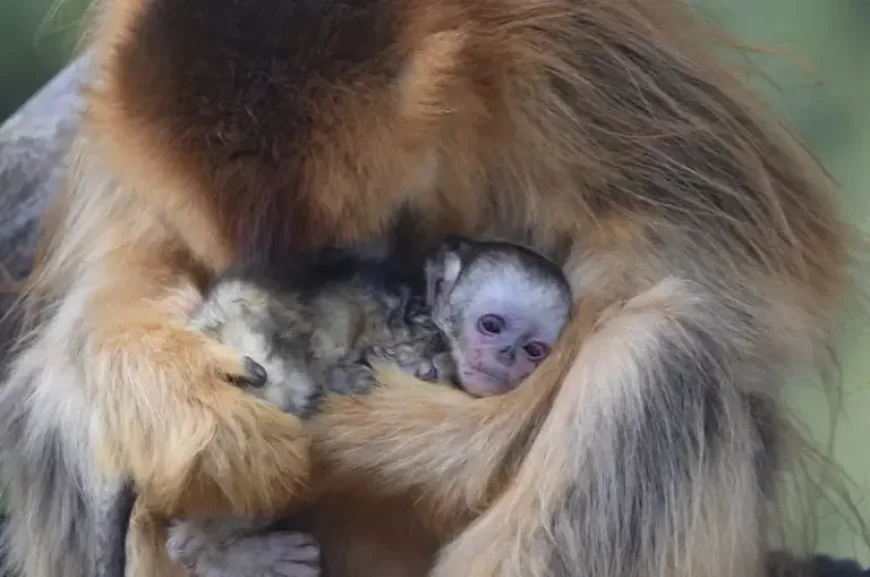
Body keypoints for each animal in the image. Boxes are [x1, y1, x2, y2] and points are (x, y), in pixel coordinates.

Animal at [0, 1, 851, 577]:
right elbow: (109, 288)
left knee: (663, 348)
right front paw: (195, 413)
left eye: (344, 255)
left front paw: (404, 435)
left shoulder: (571, 53)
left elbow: (748, 278)